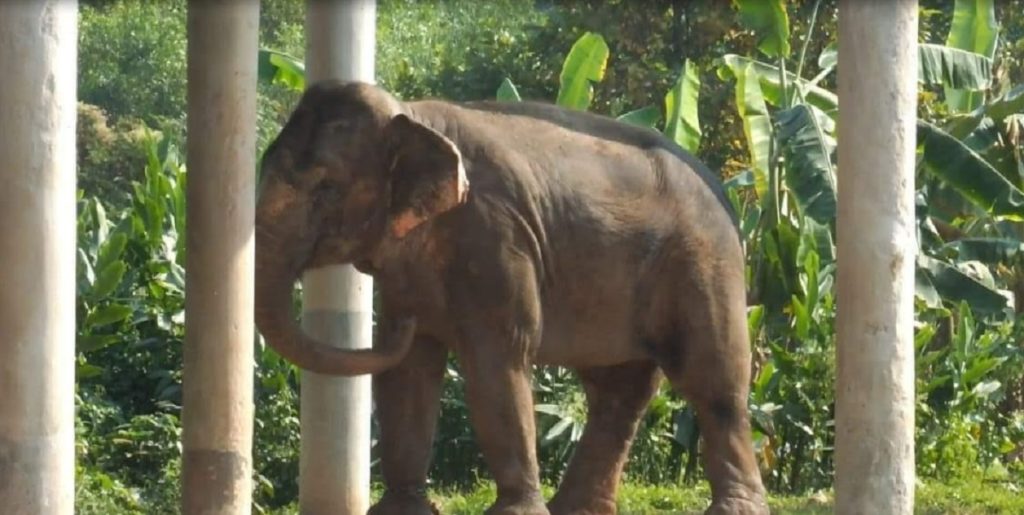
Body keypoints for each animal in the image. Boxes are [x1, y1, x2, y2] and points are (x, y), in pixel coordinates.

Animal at [253, 80, 768, 515]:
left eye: (326, 188)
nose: (398, 319)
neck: (412, 115)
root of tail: (722, 188)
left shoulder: (497, 234)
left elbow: (496, 359)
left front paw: (514, 512)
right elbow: (410, 371)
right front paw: (399, 512)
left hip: (702, 261)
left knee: (712, 380)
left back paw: (733, 509)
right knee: (617, 389)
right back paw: (575, 509)